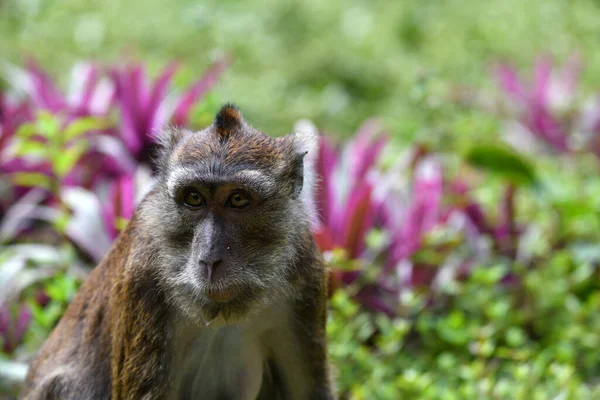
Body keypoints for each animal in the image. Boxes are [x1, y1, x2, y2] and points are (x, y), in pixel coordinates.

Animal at [21, 104, 336, 398]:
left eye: (238, 199)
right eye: (194, 198)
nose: (209, 259)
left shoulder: (306, 276)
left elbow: (309, 392)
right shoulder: (143, 280)